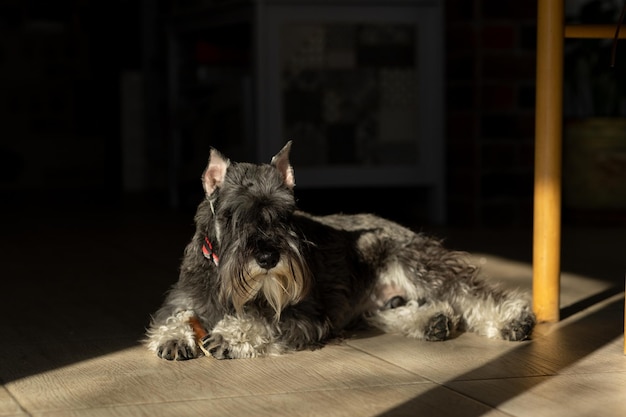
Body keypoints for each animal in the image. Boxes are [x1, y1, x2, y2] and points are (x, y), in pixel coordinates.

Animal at [144, 141, 532, 360]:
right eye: (231, 215)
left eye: (286, 215)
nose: (268, 258)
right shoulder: (182, 298)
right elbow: (173, 316)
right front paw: (174, 337)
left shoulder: (304, 316)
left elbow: (263, 319)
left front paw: (230, 334)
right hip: (377, 301)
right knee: (392, 311)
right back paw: (434, 321)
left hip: (419, 264)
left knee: (469, 293)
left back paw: (513, 319)